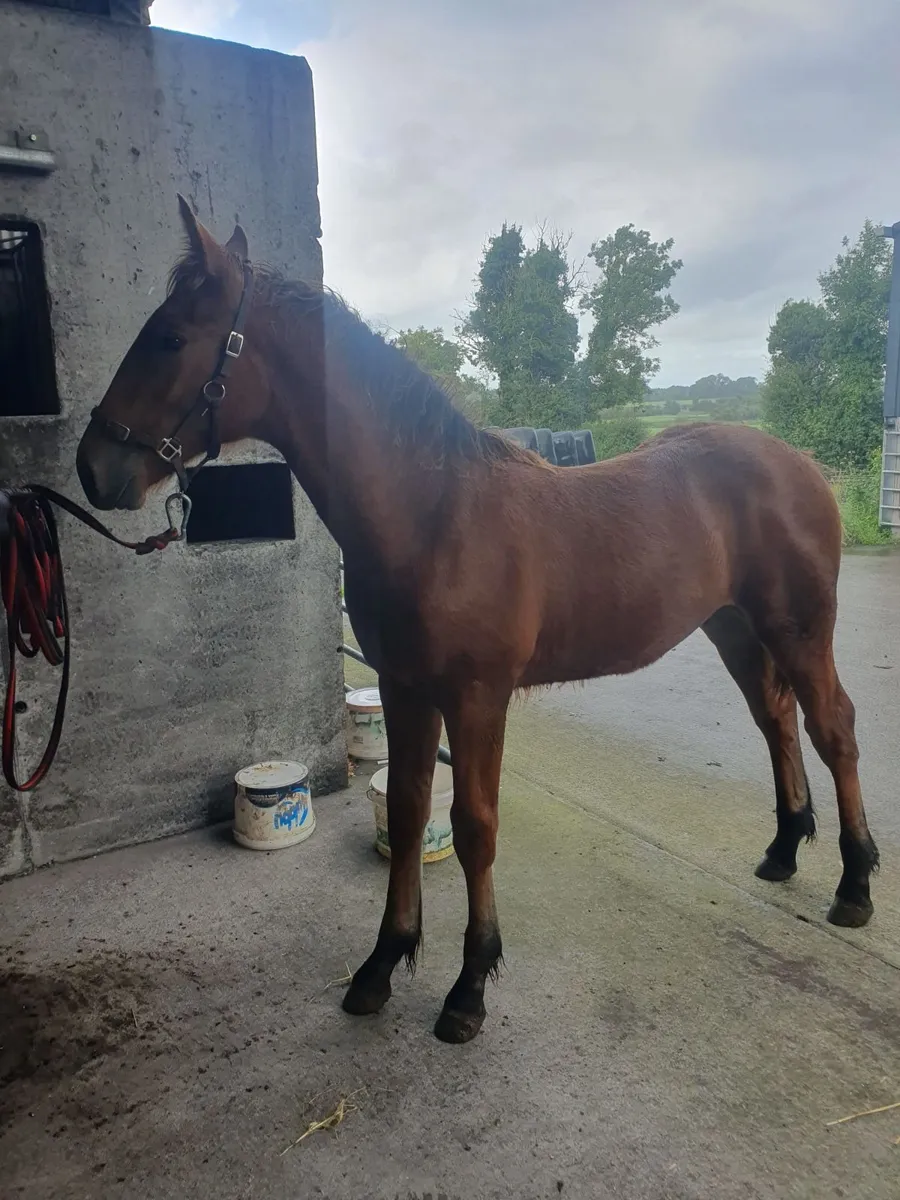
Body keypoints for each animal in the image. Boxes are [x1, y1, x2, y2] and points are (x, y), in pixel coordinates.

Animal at [76, 196, 879, 1044]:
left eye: (170, 337)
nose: (93, 466)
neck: (435, 516)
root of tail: (798, 462)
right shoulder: (404, 688)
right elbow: (409, 810)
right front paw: (381, 964)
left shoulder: (477, 698)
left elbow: (475, 827)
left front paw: (468, 986)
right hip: (734, 629)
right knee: (776, 719)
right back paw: (784, 849)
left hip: (799, 628)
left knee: (832, 726)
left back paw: (855, 885)